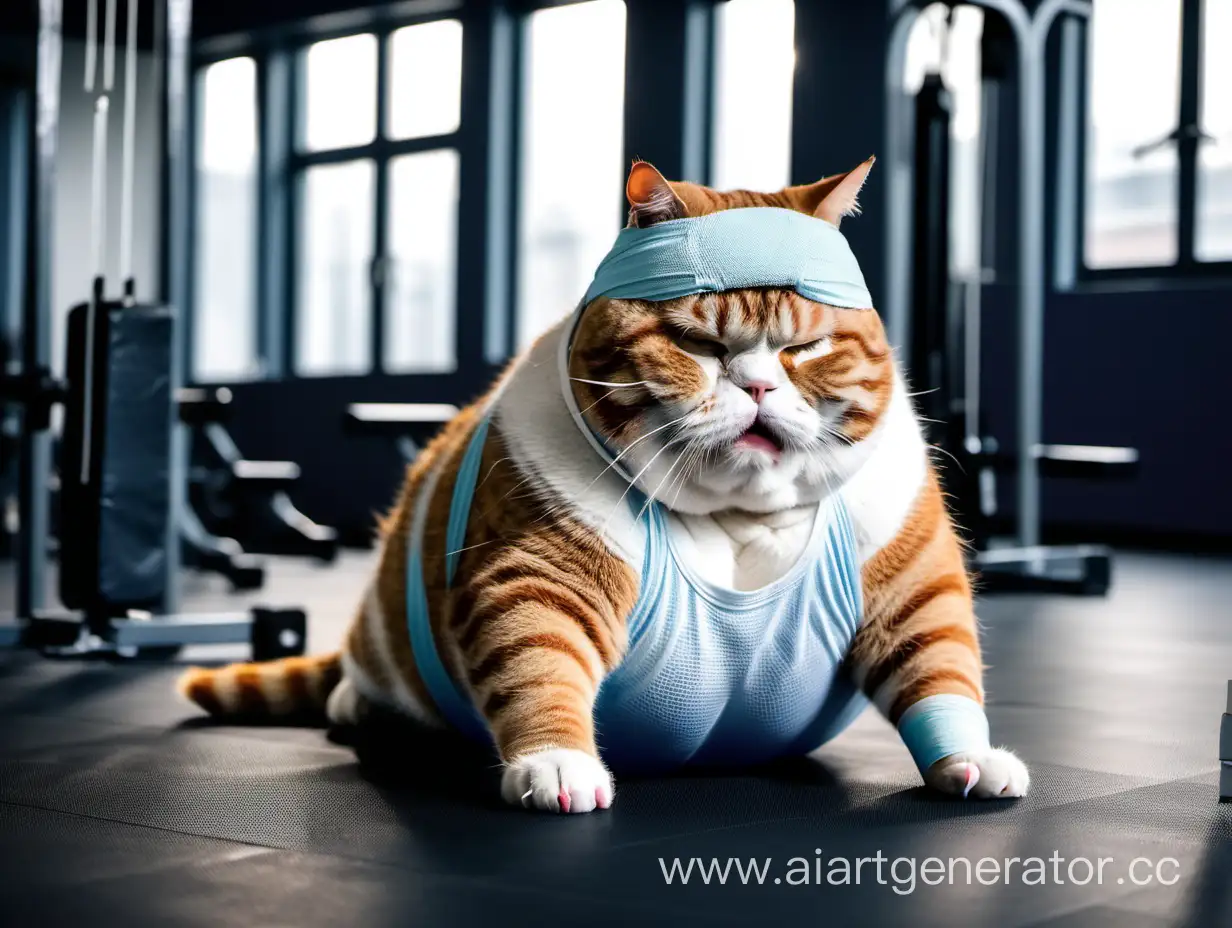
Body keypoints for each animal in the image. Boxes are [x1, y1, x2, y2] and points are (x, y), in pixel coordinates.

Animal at [179, 158, 1029, 808]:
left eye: (806, 349)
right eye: (696, 344)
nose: (758, 386)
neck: (737, 519)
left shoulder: (913, 576)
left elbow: (941, 658)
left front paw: (968, 753)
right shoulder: (539, 574)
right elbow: (536, 660)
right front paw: (555, 759)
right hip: (383, 637)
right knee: (366, 671)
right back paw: (364, 702)